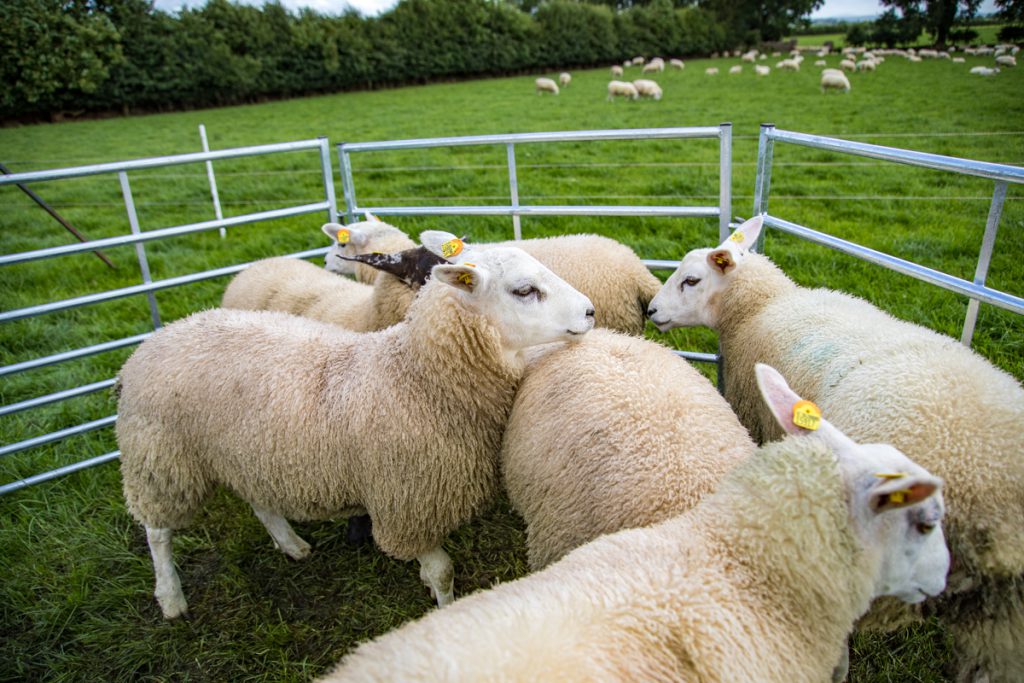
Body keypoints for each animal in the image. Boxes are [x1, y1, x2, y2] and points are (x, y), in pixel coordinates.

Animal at [116, 245, 596, 619]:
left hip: (244, 450)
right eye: (524, 290)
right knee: (157, 531)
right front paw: (443, 606)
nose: (591, 312)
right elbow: (442, 571)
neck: (417, 377)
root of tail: (155, 339)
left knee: (259, 500)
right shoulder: (407, 503)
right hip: (160, 458)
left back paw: (291, 544)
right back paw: (170, 597)